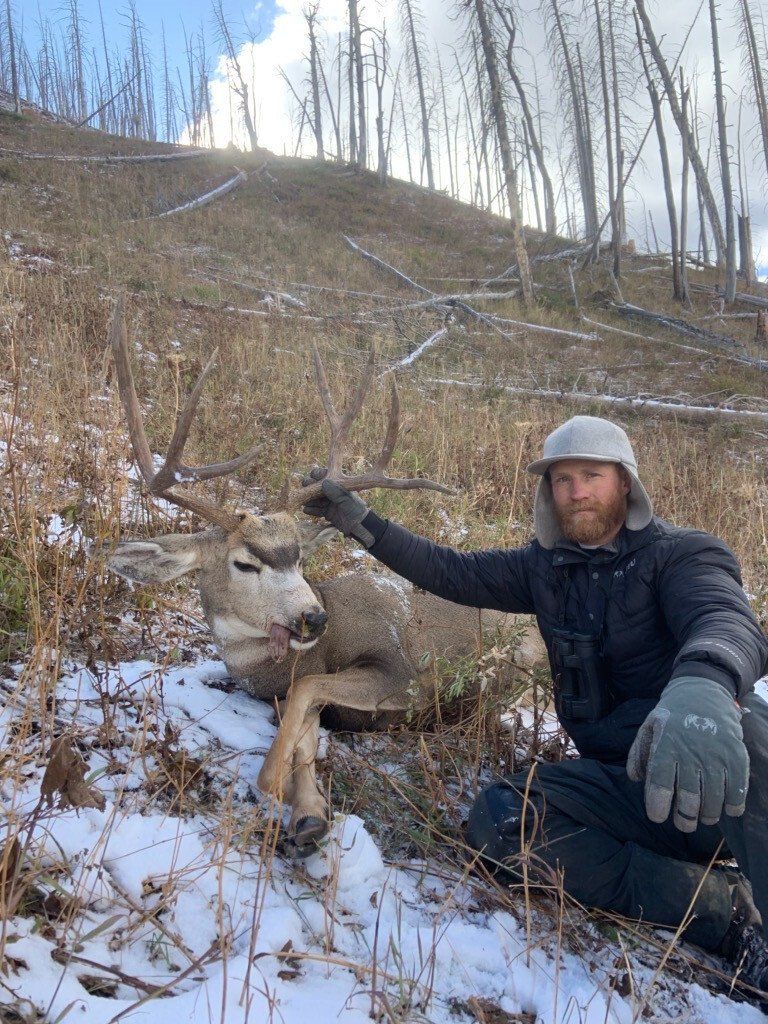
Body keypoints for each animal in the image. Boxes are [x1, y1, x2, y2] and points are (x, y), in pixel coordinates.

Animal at [101, 298, 544, 853]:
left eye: (300, 560)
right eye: (244, 562)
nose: (313, 617)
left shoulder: (403, 673)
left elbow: (305, 695)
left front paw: (277, 784)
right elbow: (304, 721)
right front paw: (309, 812)